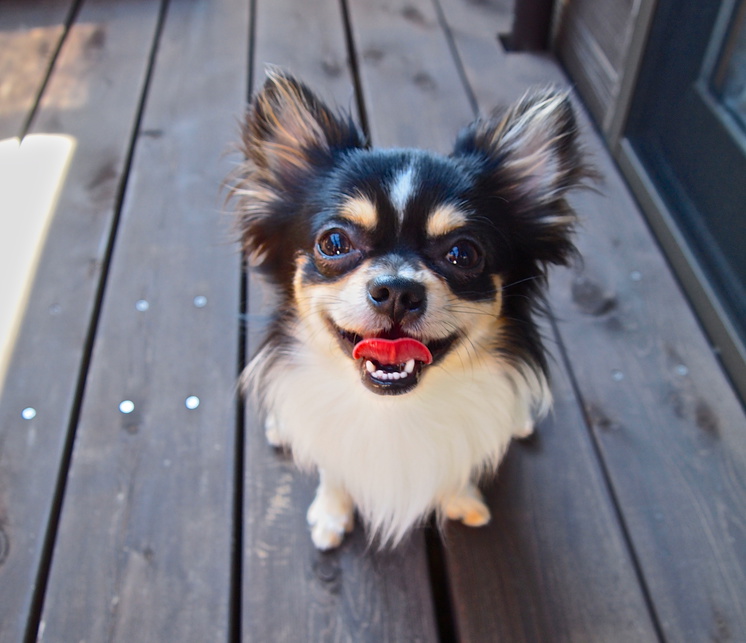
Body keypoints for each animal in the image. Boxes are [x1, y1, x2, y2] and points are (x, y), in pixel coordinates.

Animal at [227, 70, 588, 552]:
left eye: (463, 254)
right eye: (334, 243)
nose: (397, 290)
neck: (394, 410)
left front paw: (462, 497)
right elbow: (332, 468)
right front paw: (331, 512)